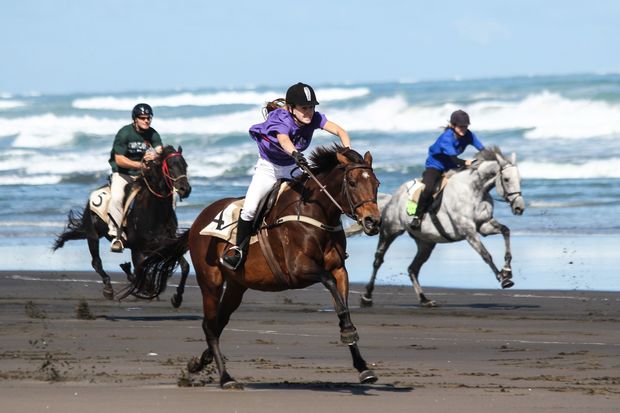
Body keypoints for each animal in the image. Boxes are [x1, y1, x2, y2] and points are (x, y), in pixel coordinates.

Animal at [53, 146, 191, 300]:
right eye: (171, 166)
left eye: (185, 165)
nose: (185, 189)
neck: (154, 211)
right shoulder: (138, 248)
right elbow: (141, 272)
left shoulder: (167, 244)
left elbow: (184, 266)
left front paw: (177, 297)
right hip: (92, 235)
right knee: (96, 262)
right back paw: (109, 288)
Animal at [131, 146, 382, 388]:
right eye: (352, 183)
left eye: (377, 184)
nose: (373, 222)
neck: (314, 212)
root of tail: (196, 224)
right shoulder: (298, 268)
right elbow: (328, 282)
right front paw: (349, 332)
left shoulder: (339, 269)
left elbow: (341, 303)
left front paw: (362, 365)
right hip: (210, 282)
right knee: (210, 326)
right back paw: (226, 378)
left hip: (236, 286)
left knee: (219, 323)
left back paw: (199, 363)